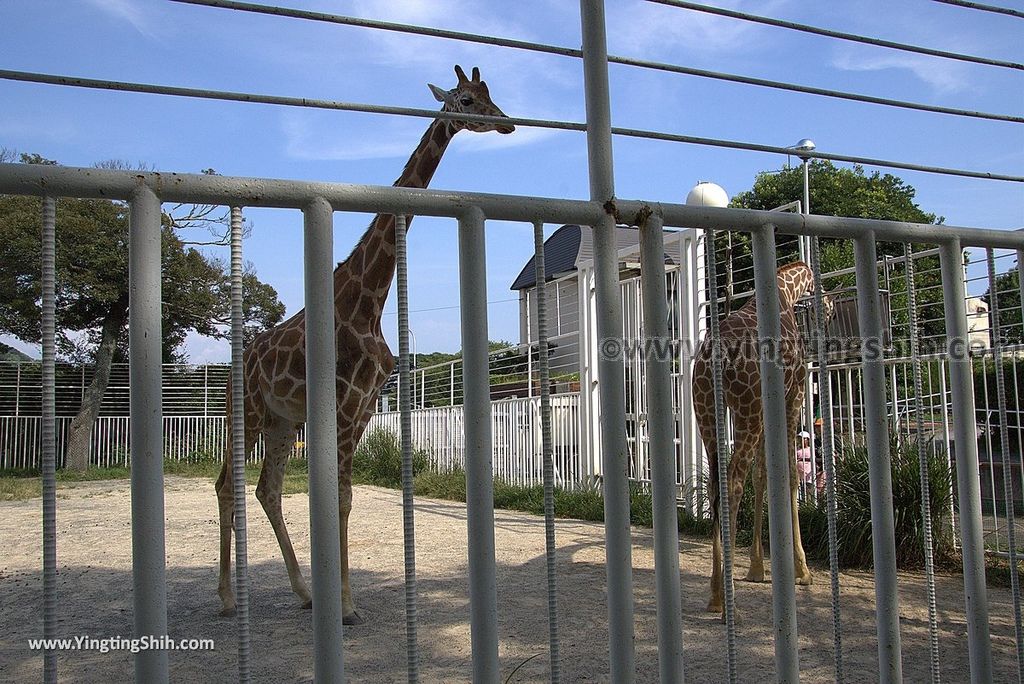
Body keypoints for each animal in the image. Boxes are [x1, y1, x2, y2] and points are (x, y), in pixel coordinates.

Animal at [214, 65, 512, 626]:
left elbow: (343, 499)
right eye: (464, 99)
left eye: (489, 94)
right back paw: (225, 597)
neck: (369, 299)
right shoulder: (343, 405)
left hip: (283, 421)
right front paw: (348, 606)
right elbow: (338, 499)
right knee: (227, 485)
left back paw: (303, 592)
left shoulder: (365, 406)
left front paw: (340, 600)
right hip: (248, 412)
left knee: (266, 490)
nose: (506, 124)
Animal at [696, 262, 815, 614]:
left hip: (710, 410)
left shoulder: (765, 410)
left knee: (717, 483)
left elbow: (762, 475)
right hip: (749, 410)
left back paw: (715, 593)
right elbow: (789, 475)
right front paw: (802, 570)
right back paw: (727, 597)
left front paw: (757, 567)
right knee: (733, 482)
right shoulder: (794, 394)